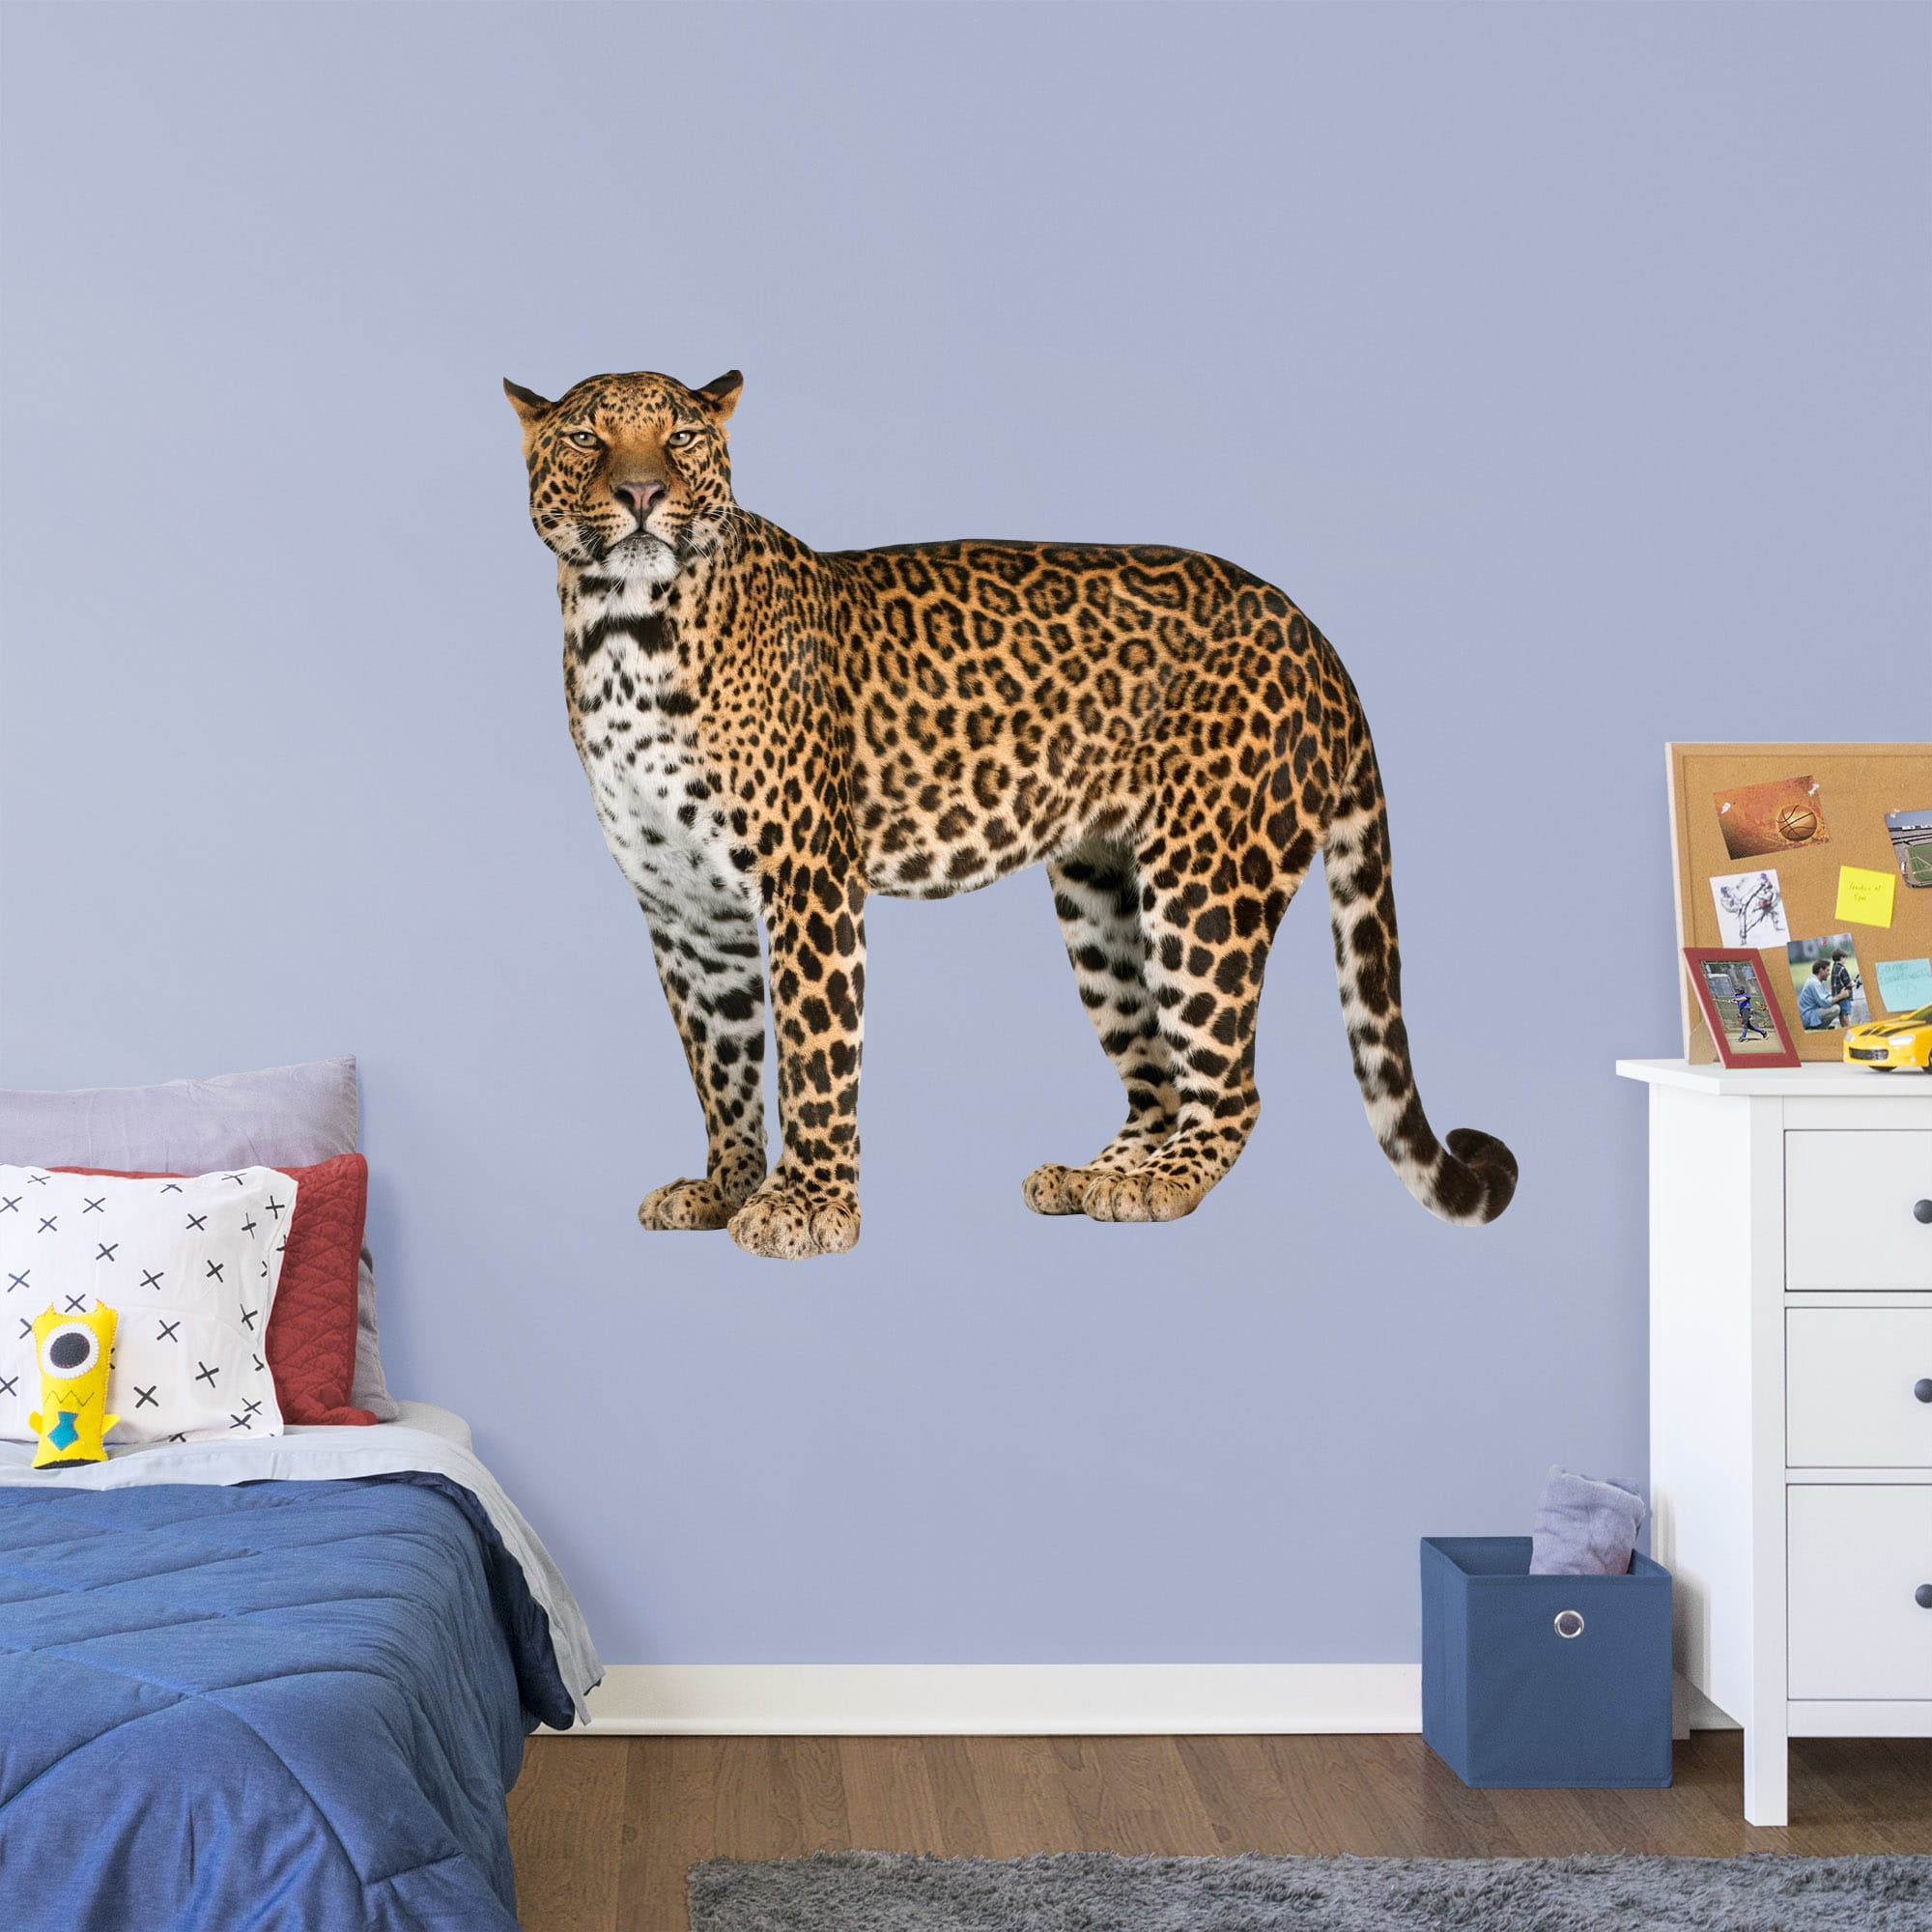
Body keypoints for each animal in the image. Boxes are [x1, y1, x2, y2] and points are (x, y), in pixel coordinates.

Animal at [506, 368, 1517, 1260]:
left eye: (680, 436)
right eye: (588, 438)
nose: (642, 493)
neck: (623, 631)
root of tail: (1315, 633)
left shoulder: (809, 880)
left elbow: (815, 1055)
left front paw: (808, 1208)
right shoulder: (683, 905)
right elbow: (723, 1059)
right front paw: (723, 1188)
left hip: (1204, 885)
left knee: (1231, 1087)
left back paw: (1161, 1185)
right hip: (1101, 897)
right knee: (1156, 1077)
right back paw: (1098, 1175)